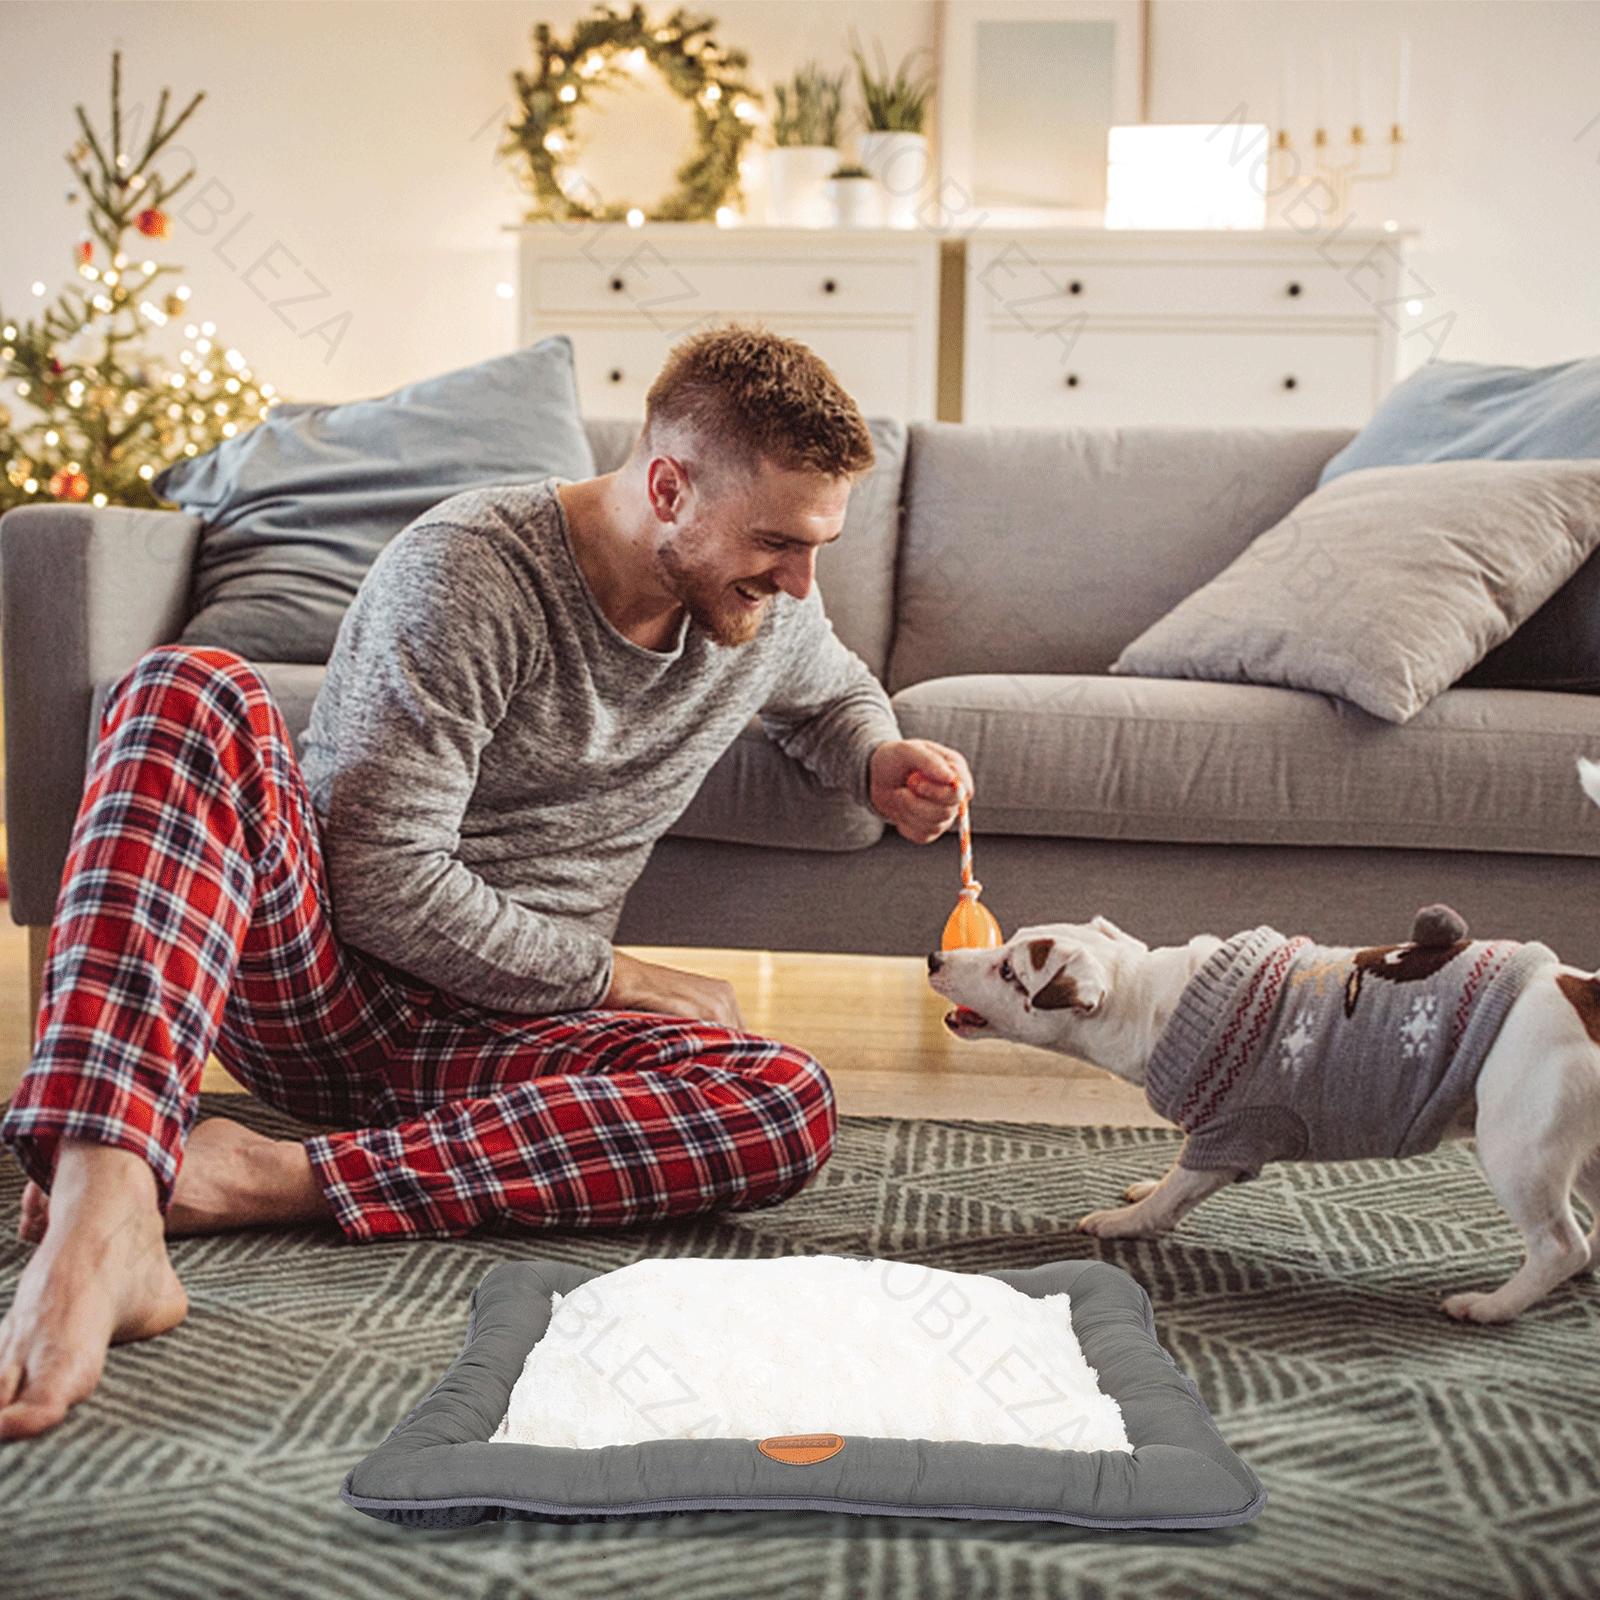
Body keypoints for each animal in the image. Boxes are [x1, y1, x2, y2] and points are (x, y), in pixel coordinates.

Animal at [928, 755, 1600, 1318]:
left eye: (1009, 971)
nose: (935, 958)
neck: (1153, 1001)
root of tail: (1584, 992)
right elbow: (1174, 1182)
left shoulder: (1232, 1131)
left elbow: (1176, 1190)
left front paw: (1129, 1220)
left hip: (1519, 1146)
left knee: (1559, 1245)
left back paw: (1494, 1305)